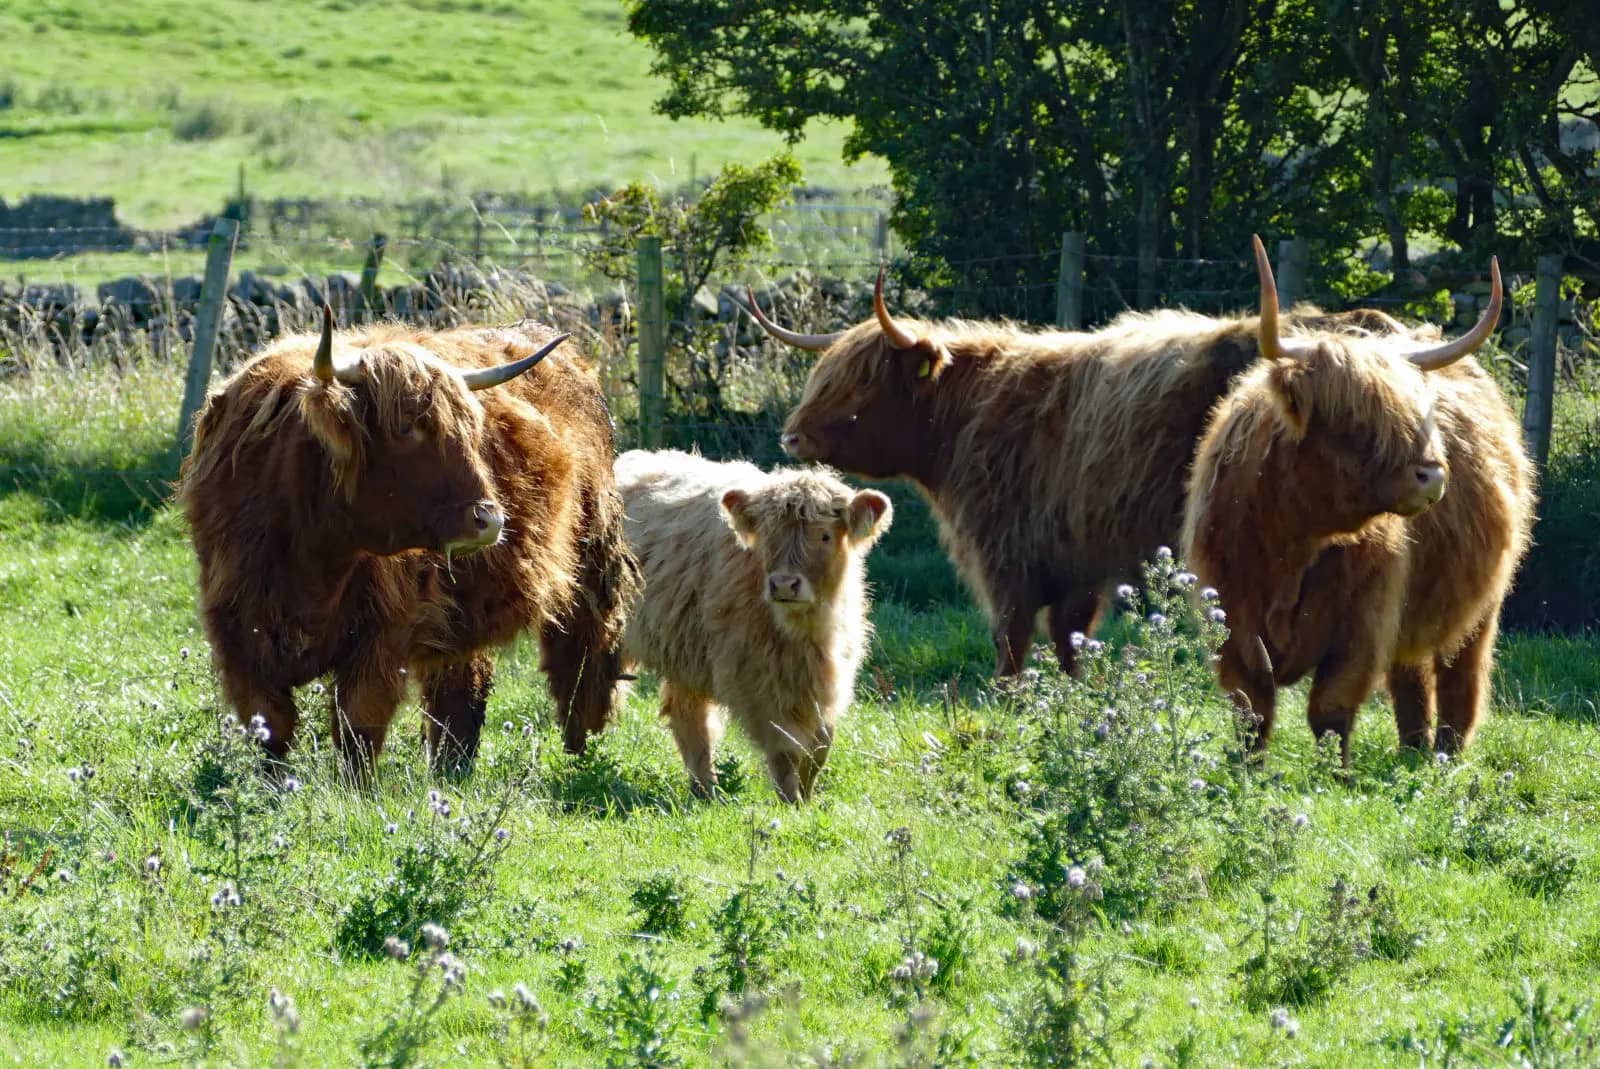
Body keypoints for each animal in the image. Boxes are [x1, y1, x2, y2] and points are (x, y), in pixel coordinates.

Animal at [179, 308, 640, 779]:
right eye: (405, 427)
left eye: (471, 430)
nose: (489, 520)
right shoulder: (236, 633)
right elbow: (270, 727)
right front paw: (269, 788)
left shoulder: (385, 633)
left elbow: (358, 726)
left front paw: (355, 791)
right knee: (461, 686)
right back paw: (453, 769)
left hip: (593, 562)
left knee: (582, 661)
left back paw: (583, 755)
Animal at [614, 449, 892, 802]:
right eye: (769, 536)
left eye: (825, 535)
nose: (784, 584)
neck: (804, 632)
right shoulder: (756, 681)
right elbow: (784, 748)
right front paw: (791, 802)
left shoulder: (828, 678)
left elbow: (820, 746)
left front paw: (808, 797)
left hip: (685, 650)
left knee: (688, 715)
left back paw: (704, 790)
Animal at [752, 272, 1418, 678]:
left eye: (861, 383)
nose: (790, 436)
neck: (972, 415)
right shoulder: (1077, 564)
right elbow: (1069, 642)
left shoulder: (1007, 555)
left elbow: (1013, 639)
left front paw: (1011, 702)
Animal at [1181, 237, 1534, 763]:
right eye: (1352, 419)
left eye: (1418, 414)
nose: (1433, 475)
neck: (1293, 540)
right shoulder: (1230, 613)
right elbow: (1252, 709)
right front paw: (1245, 771)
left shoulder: (1362, 623)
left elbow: (1330, 709)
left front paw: (1335, 774)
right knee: (1411, 675)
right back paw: (1413, 751)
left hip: (1482, 603)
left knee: (1460, 674)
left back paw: (1445, 757)